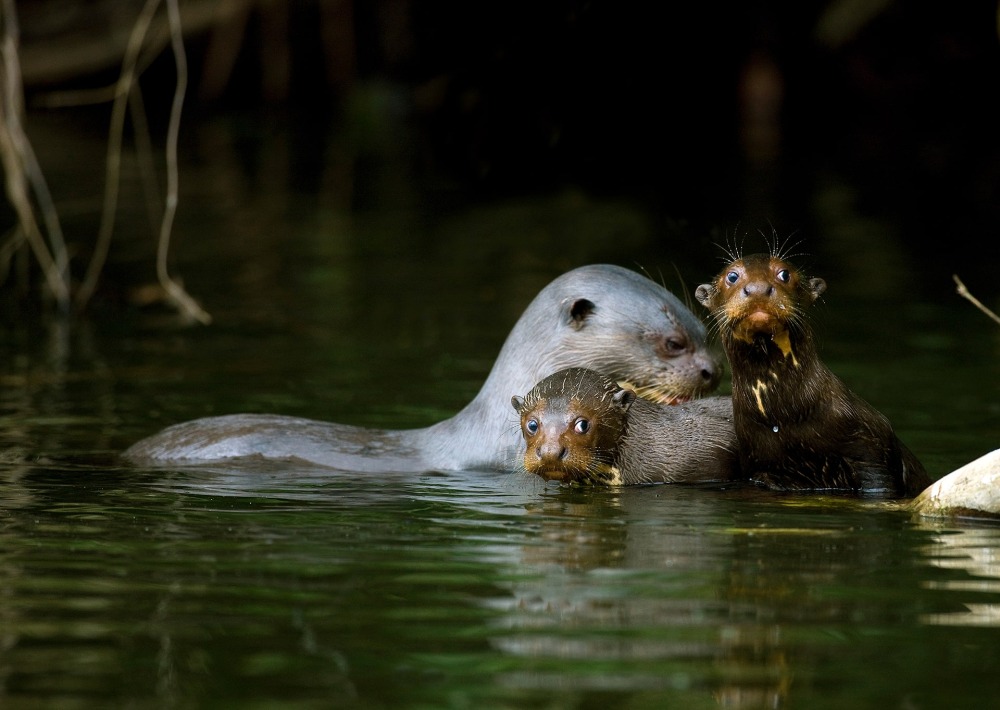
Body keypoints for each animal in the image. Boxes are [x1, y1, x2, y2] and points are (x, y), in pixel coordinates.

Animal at [696, 253, 928, 498]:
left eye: (784, 273)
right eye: (732, 276)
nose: (758, 289)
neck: (785, 416)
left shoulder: (872, 444)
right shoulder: (760, 465)